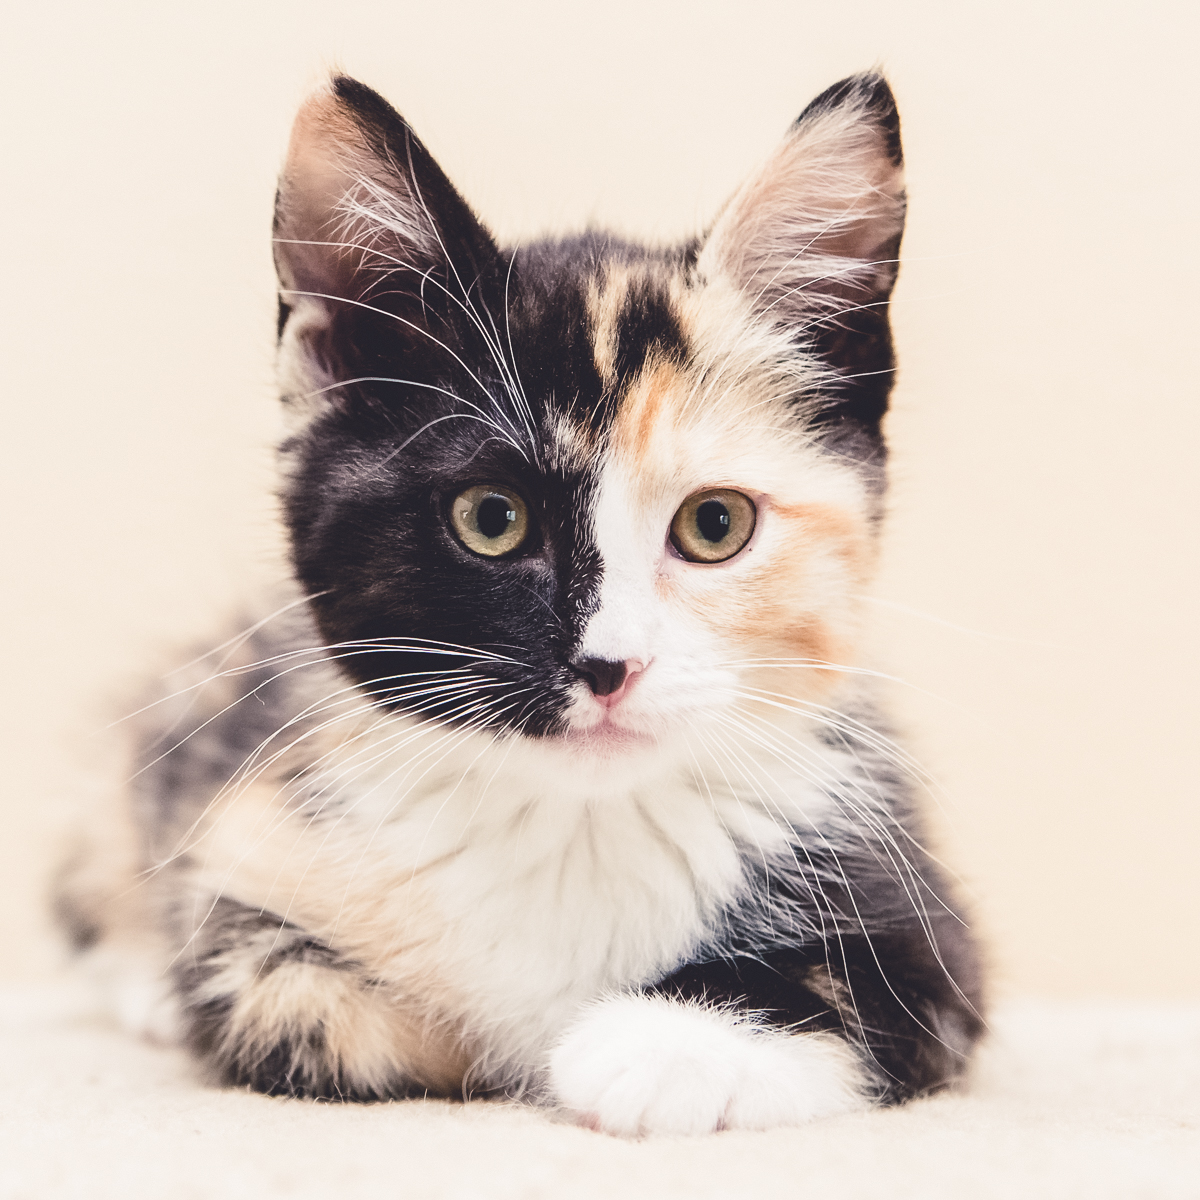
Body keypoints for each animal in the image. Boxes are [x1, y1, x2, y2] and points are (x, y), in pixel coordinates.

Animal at [58, 72, 984, 1132]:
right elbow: (283, 996)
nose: (610, 665)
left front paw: (660, 1046)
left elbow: (866, 991)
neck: (574, 824)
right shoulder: (250, 839)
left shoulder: (913, 898)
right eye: (491, 518)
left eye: (715, 524)